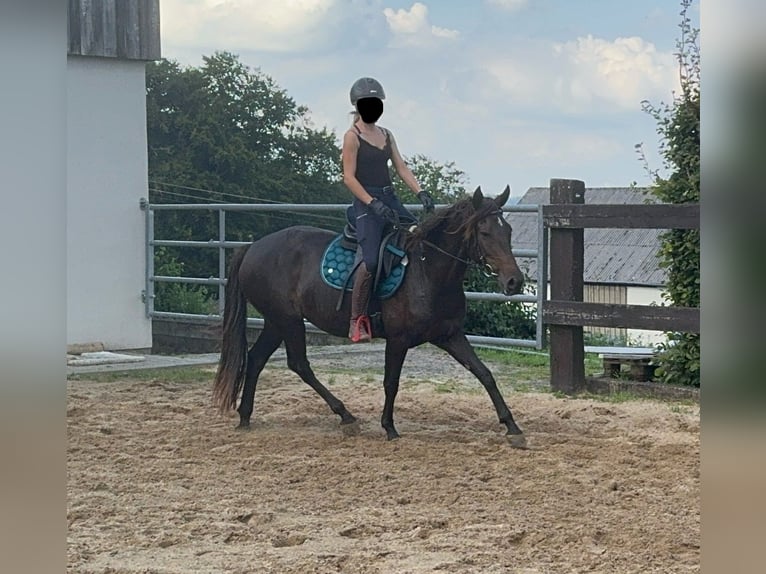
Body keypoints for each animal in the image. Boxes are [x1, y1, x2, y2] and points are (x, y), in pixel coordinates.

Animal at [213, 187, 532, 448]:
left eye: (508, 231)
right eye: (485, 233)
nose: (514, 281)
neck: (427, 271)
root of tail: (253, 247)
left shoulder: (450, 335)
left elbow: (484, 374)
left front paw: (512, 427)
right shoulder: (398, 339)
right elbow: (391, 382)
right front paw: (389, 427)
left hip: (275, 321)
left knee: (256, 359)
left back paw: (245, 417)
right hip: (288, 321)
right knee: (299, 364)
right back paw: (345, 415)